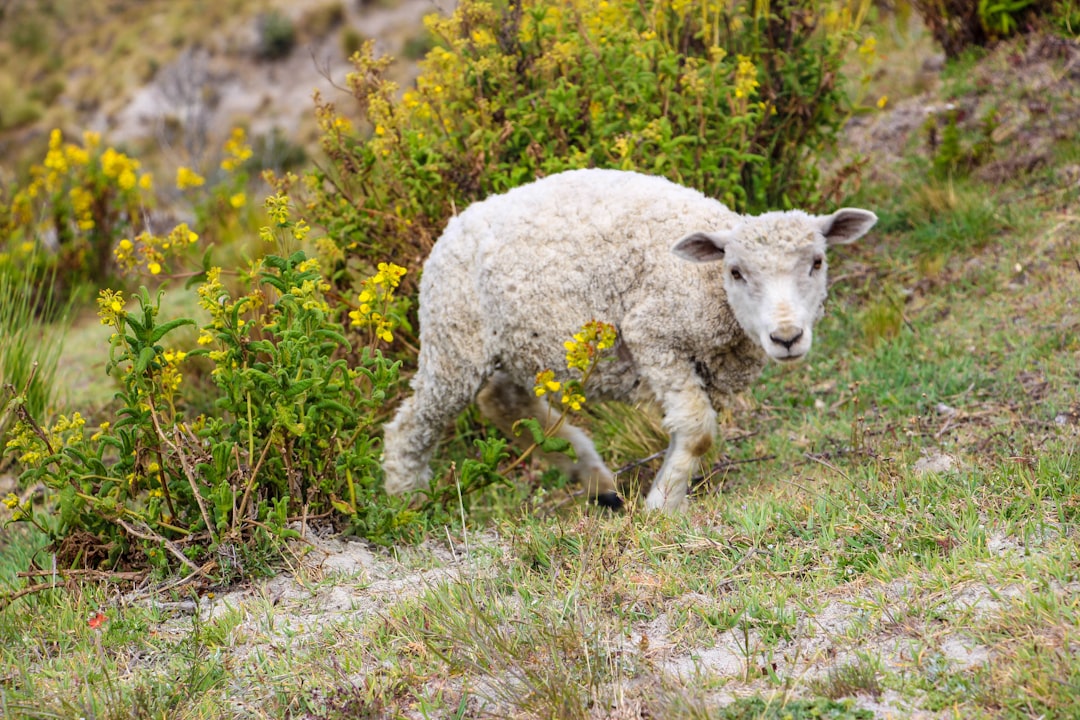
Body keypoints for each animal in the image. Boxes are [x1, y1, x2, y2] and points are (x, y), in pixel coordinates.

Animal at [380, 167, 876, 511]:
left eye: (816, 262)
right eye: (736, 271)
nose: (786, 336)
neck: (707, 286)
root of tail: (453, 224)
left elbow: (690, 430)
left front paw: (664, 492)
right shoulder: (652, 333)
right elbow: (697, 430)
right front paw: (662, 505)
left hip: (517, 343)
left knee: (500, 400)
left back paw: (596, 481)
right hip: (454, 338)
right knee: (416, 421)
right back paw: (406, 498)